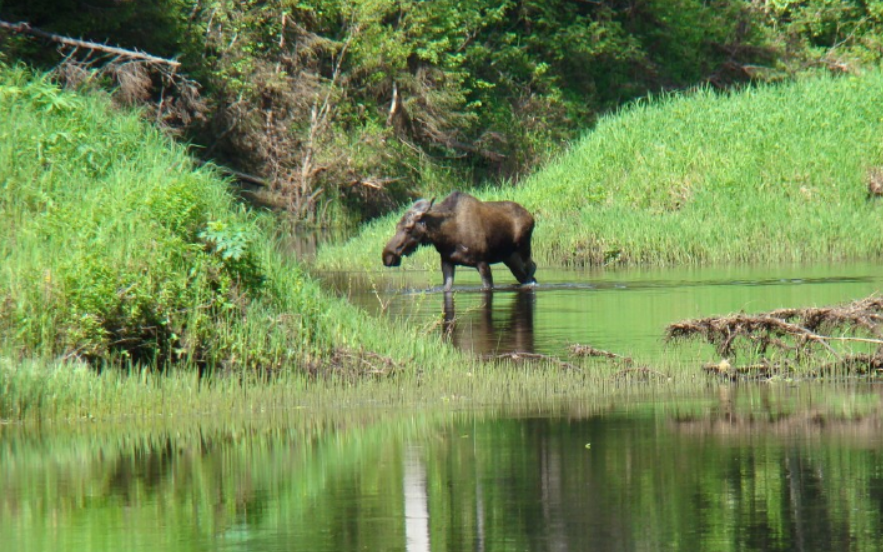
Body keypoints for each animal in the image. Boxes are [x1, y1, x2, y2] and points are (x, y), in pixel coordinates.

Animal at [382, 192, 540, 292]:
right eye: (397, 226)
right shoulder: (447, 262)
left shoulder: (482, 262)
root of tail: (531, 217)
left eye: (408, 228)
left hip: (524, 248)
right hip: (510, 258)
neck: (446, 237)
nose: (387, 255)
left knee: (532, 267)